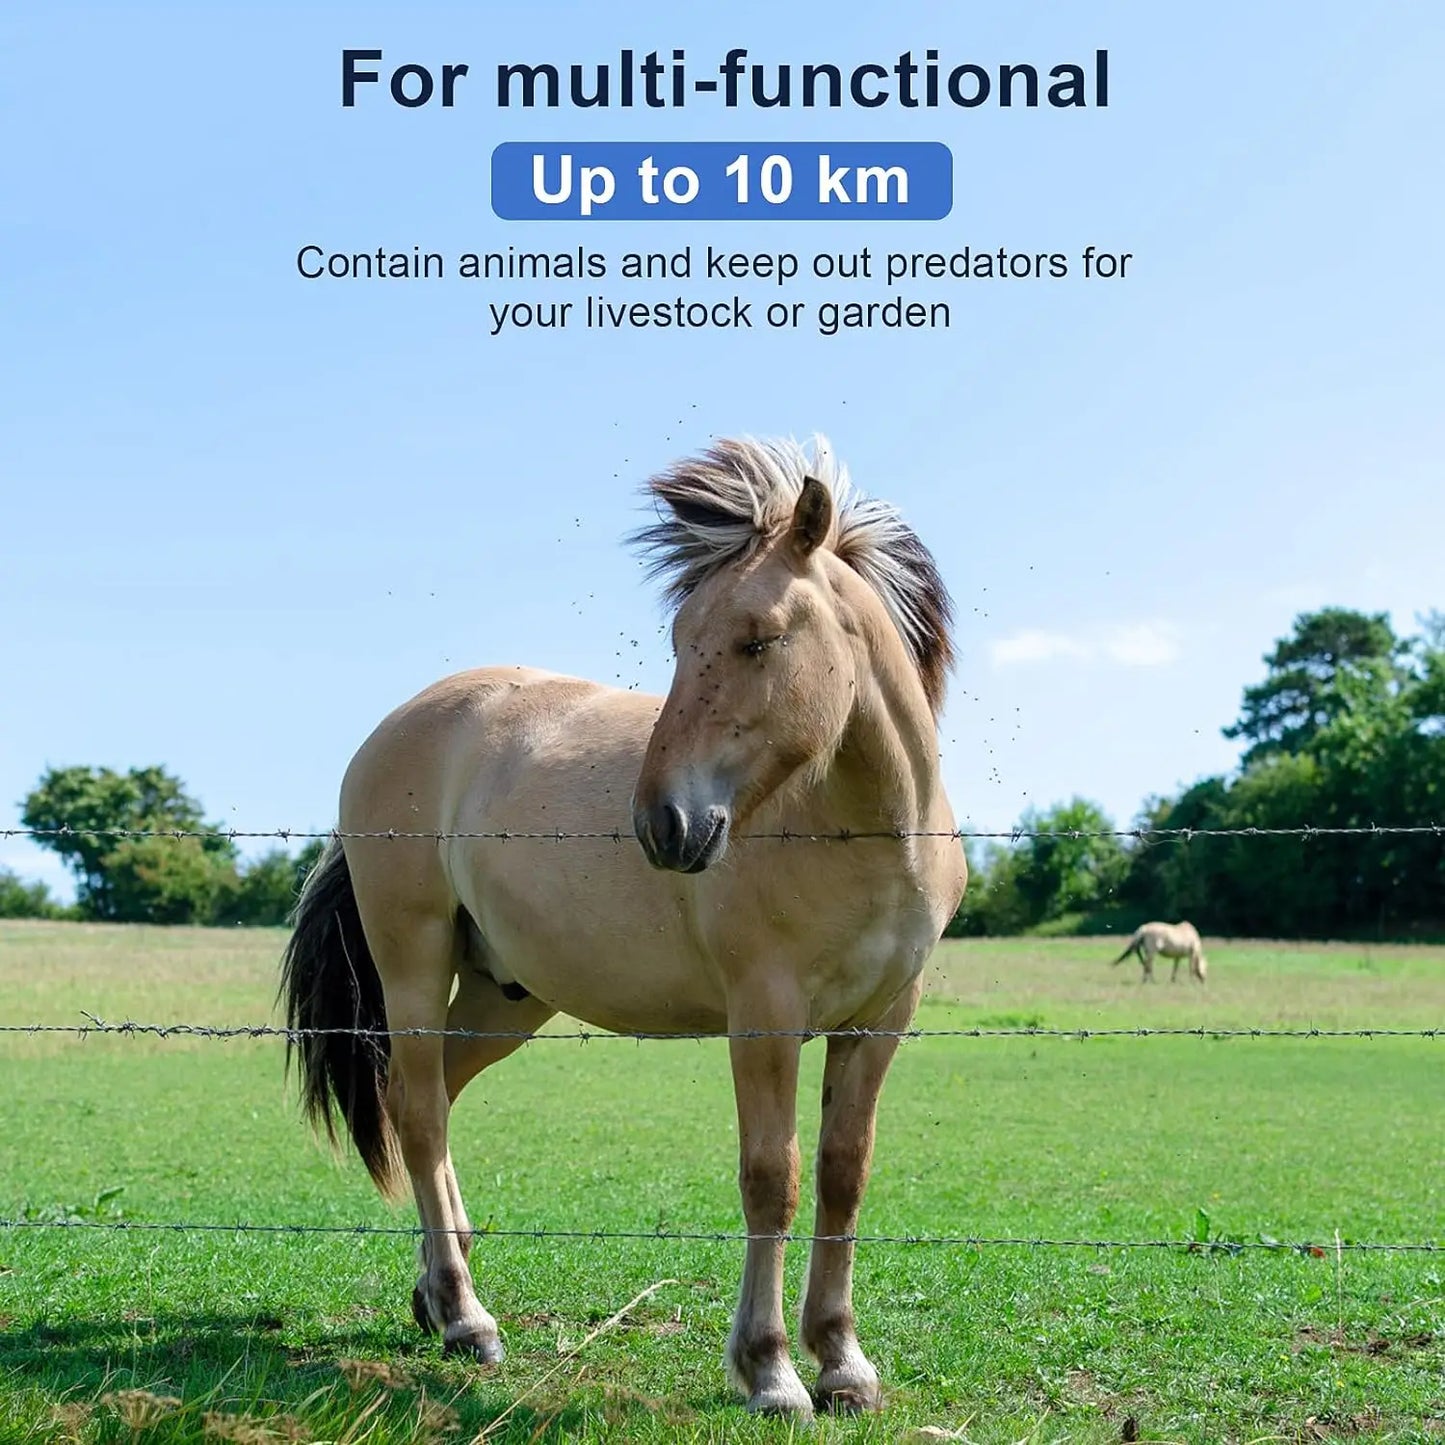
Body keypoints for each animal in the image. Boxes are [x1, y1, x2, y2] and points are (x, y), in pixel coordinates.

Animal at [278, 435, 967, 1418]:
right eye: (679, 642)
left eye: (760, 638)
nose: (664, 824)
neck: (861, 829)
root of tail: (392, 730)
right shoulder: (764, 1016)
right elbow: (772, 1179)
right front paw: (769, 1369)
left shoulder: (880, 1021)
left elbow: (843, 1174)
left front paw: (842, 1361)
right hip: (413, 961)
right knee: (416, 1111)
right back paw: (465, 1314)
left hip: (504, 996)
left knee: (435, 1101)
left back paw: (435, 1291)